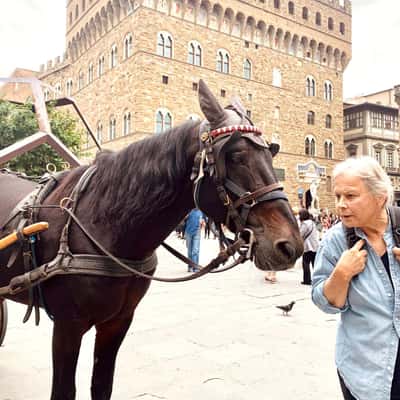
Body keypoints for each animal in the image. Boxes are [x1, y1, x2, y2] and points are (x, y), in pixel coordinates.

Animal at [0, 81, 302, 400]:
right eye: (237, 157)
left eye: (271, 155)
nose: (290, 245)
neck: (102, 221)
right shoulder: (67, 326)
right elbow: (63, 391)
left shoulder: (117, 322)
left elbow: (102, 386)